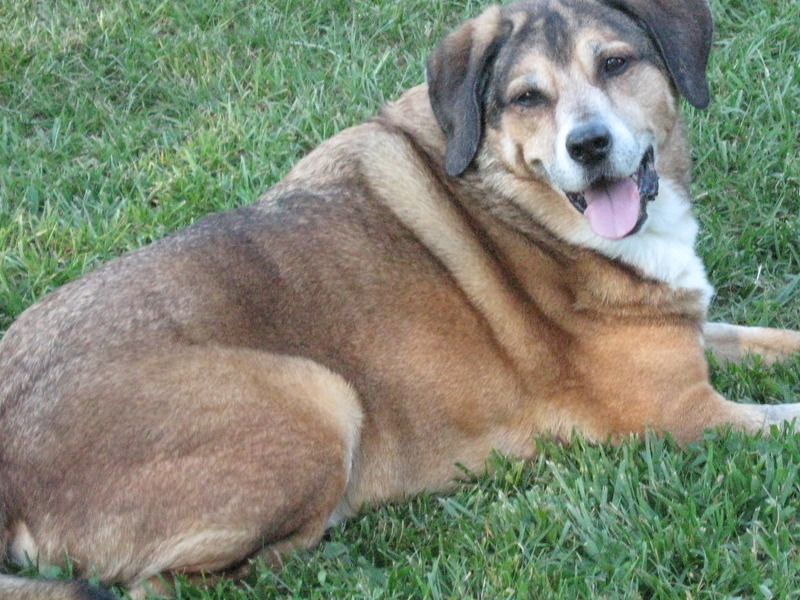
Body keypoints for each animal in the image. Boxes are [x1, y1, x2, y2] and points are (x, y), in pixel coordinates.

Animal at [1, 1, 800, 600]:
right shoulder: (687, 415)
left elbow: (776, 339)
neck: (522, 203)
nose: (590, 145)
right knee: (166, 583)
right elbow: (789, 421)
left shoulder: (689, 326)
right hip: (319, 397)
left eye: (615, 63)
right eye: (527, 98)